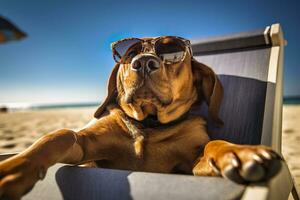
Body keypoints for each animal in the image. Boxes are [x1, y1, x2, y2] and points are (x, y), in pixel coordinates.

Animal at [0, 36, 282, 200]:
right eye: (130, 52)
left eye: (172, 52)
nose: (144, 62)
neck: (149, 125)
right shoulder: (85, 147)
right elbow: (60, 135)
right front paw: (13, 169)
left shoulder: (189, 165)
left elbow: (212, 144)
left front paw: (238, 152)